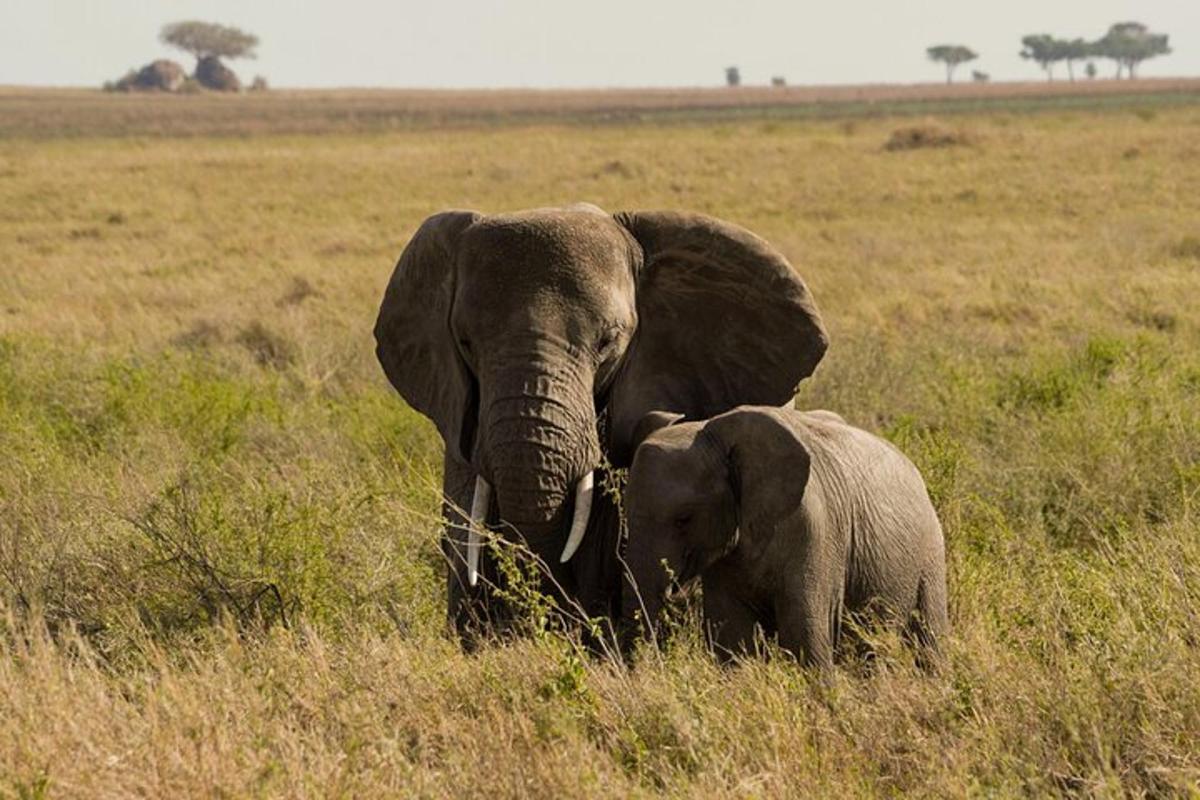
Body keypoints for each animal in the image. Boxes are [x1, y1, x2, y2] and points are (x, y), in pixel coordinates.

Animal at [619, 407, 945, 671]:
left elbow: (804, 632)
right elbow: (733, 637)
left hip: (931, 553)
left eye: (684, 518)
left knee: (930, 640)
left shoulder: (814, 530)